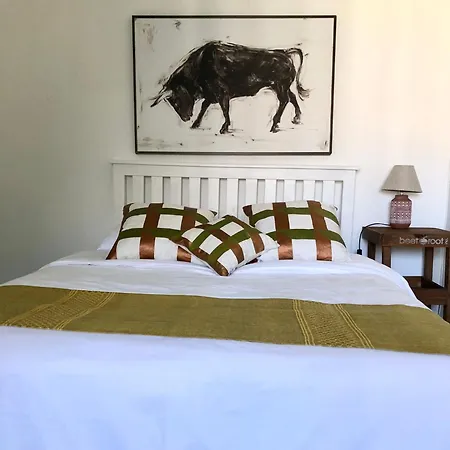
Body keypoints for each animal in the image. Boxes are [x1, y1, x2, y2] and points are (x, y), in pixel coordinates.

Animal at [149, 40, 309, 134]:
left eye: (176, 101)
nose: (185, 118)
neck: (200, 65)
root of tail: (284, 52)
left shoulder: (222, 94)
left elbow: (224, 110)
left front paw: (224, 127)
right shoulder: (211, 95)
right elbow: (204, 108)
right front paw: (196, 124)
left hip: (280, 87)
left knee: (285, 100)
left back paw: (274, 125)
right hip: (282, 87)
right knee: (292, 97)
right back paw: (296, 118)